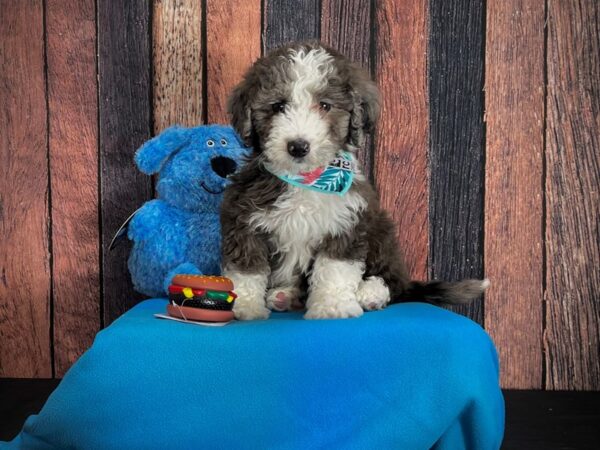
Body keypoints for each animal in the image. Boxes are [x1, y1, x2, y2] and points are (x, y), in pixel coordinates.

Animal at [220, 40, 488, 318]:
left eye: (325, 106)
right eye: (278, 106)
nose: (298, 146)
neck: (307, 178)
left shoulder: (347, 220)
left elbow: (335, 268)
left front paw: (332, 306)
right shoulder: (243, 219)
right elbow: (246, 269)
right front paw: (245, 307)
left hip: (381, 232)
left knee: (392, 281)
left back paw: (371, 294)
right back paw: (286, 296)